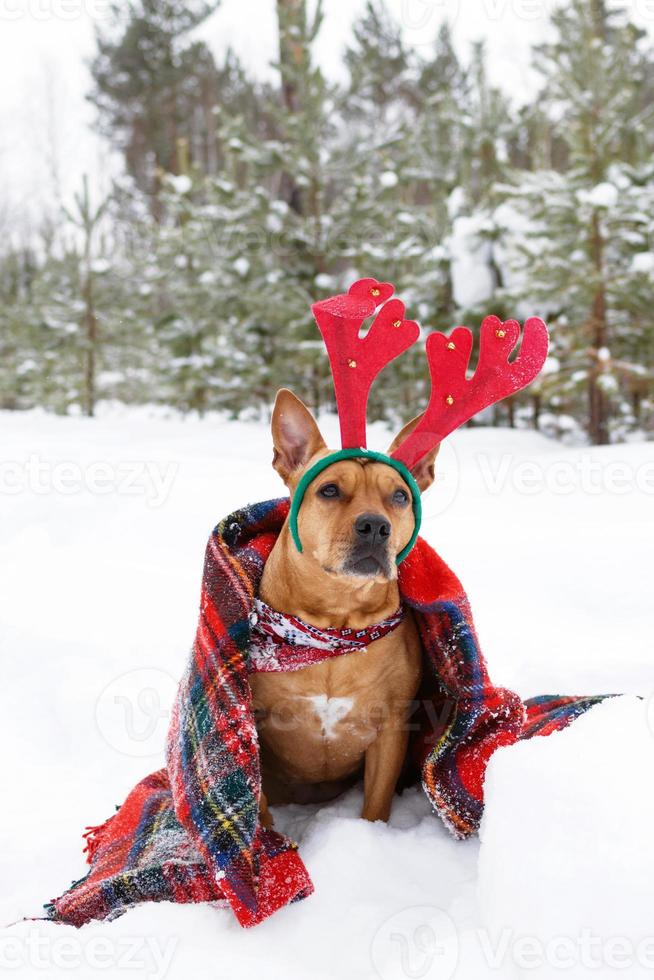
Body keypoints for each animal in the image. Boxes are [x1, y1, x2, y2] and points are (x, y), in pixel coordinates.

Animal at [251, 390, 440, 828]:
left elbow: (376, 804)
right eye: (330, 490)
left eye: (400, 496)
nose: (375, 526)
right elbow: (258, 803)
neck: (335, 621)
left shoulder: (392, 728)